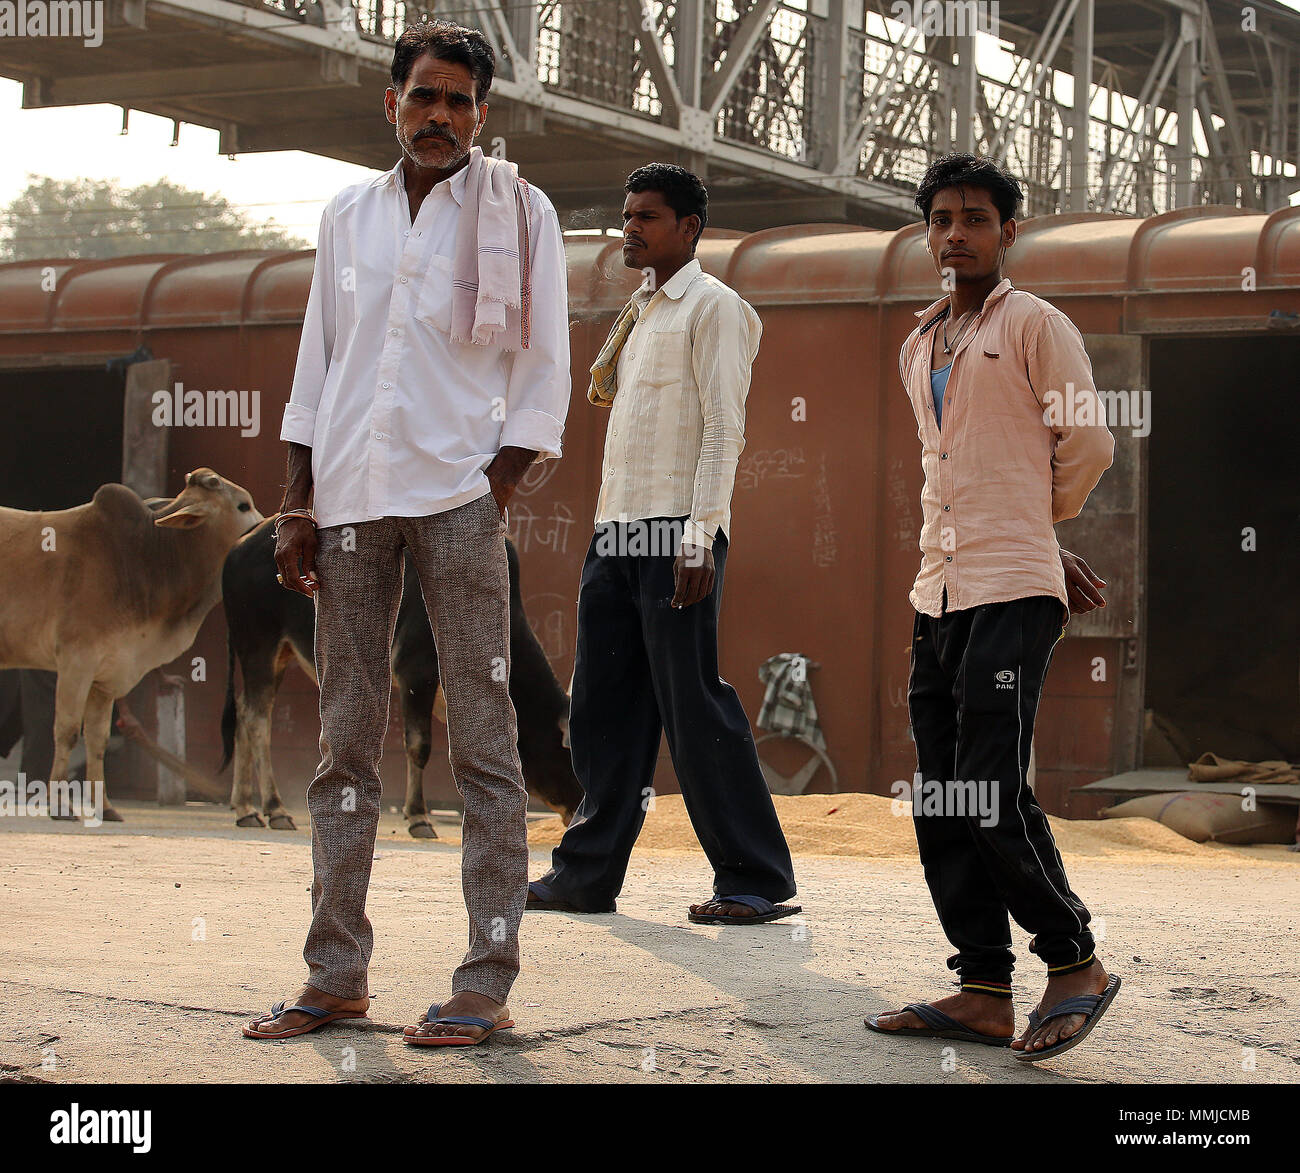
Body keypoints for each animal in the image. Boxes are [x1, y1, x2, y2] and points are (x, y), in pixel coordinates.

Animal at [220, 520, 582, 837]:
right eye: (570, 758)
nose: (576, 812)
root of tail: (240, 545)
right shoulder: (416, 673)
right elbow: (420, 745)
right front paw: (418, 816)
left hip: (277, 656)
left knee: (243, 714)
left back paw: (245, 807)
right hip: (259, 647)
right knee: (257, 720)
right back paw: (274, 807)